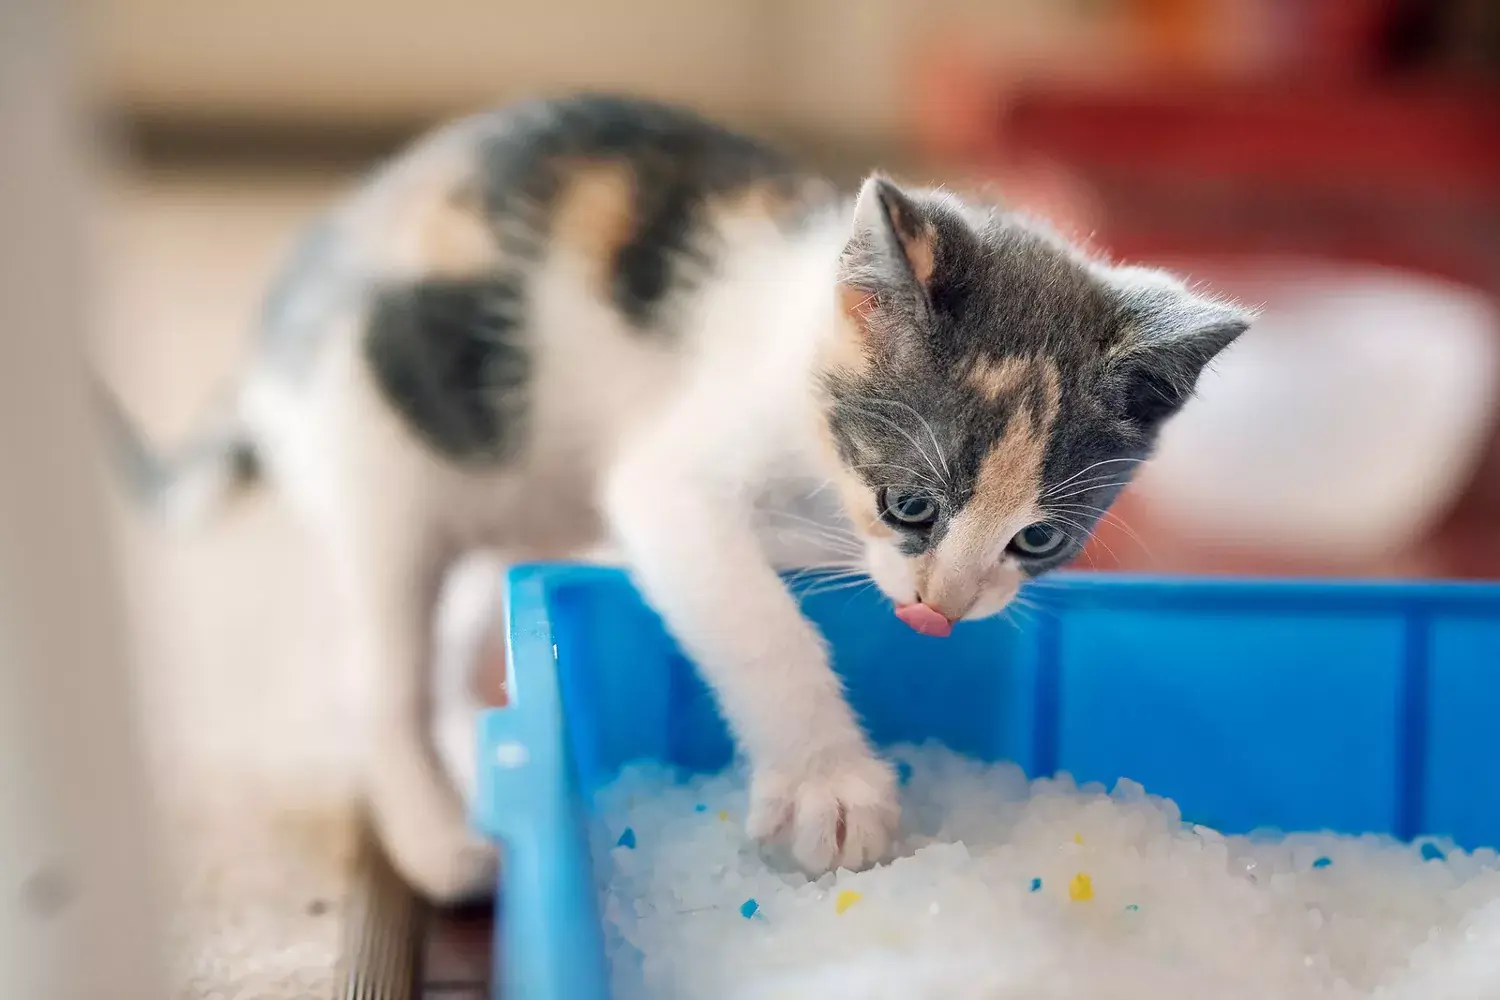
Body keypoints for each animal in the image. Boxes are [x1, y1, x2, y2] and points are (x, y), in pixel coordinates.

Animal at [105, 95, 1248, 905]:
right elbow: (756, 619)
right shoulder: (671, 479)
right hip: (383, 461)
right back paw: (438, 837)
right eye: (911, 505)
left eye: (1039, 538)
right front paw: (830, 783)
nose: (940, 609)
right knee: (379, 667)